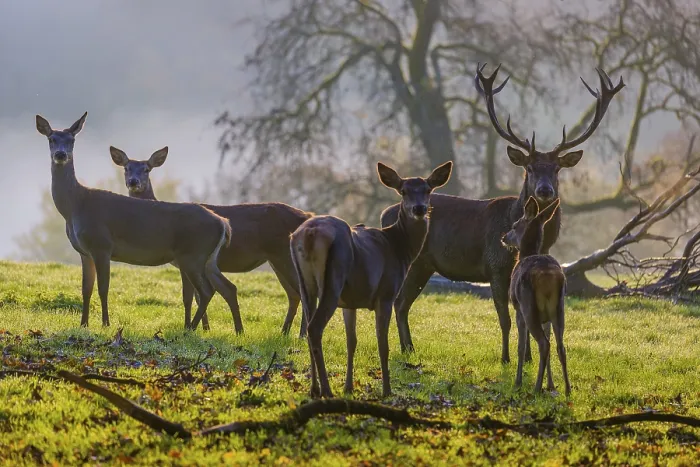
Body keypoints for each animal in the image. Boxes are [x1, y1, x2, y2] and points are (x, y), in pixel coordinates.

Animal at [35, 112, 242, 331]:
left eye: (71, 140)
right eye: (51, 139)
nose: (60, 154)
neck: (75, 207)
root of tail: (223, 223)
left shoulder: (102, 245)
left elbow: (103, 288)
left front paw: (106, 324)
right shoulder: (84, 251)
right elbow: (86, 289)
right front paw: (83, 325)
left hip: (193, 254)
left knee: (206, 291)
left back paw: (191, 328)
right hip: (206, 258)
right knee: (225, 287)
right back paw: (232, 330)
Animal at [109, 145, 312, 335]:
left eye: (146, 169)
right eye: (126, 168)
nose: (133, 182)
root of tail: (307, 215)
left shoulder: (185, 261)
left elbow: (190, 296)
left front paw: (194, 327)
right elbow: (197, 296)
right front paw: (205, 328)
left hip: (283, 255)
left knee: (303, 293)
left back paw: (301, 334)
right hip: (275, 260)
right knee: (293, 294)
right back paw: (285, 332)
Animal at [290, 161, 453, 398]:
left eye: (428, 190)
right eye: (403, 191)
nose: (419, 209)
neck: (400, 248)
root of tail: (309, 234)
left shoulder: (350, 302)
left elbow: (352, 341)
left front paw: (348, 387)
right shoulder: (385, 294)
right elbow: (382, 344)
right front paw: (387, 390)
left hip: (306, 284)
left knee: (308, 324)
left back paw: (314, 389)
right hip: (333, 281)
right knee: (314, 328)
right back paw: (327, 390)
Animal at [380, 64, 624, 364]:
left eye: (556, 169)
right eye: (529, 168)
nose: (544, 190)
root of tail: (384, 214)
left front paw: (528, 358)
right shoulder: (495, 267)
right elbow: (505, 319)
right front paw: (507, 358)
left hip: (425, 265)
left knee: (403, 303)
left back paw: (409, 349)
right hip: (415, 263)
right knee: (398, 301)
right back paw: (407, 348)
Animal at [502, 196, 570, 396]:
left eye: (515, 225)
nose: (504, 237)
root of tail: (548, 276)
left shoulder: (518, 309)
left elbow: (521, 346)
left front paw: (518, 382)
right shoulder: (546, 317)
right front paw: (551, 384)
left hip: (528, 306)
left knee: (544, 343)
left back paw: (536, 388)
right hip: (559, 308)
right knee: (560, 346)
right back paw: (567, 389)